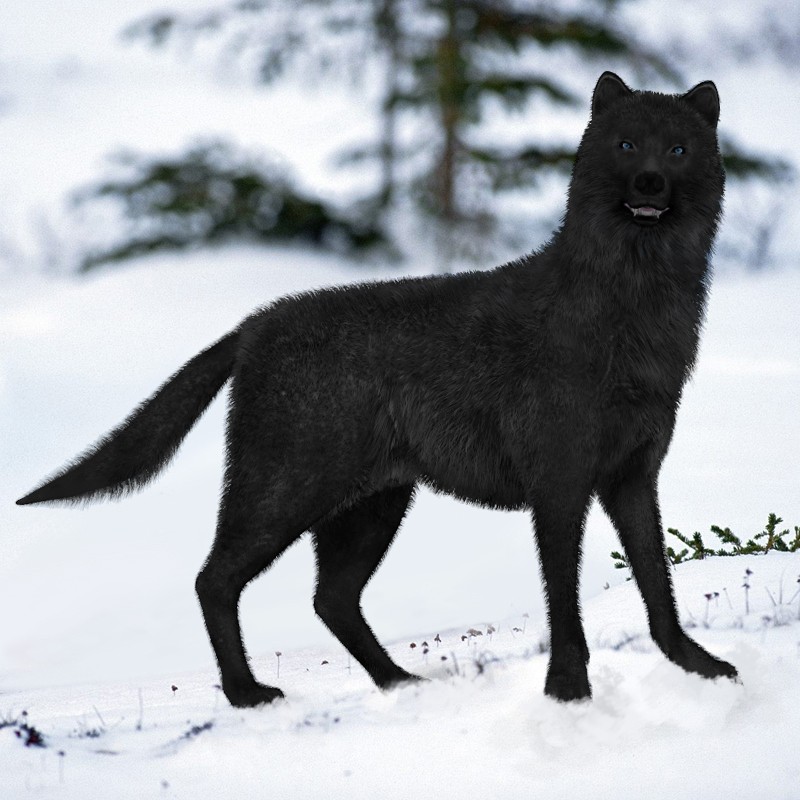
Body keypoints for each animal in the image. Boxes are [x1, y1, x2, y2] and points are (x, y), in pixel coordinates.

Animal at [17, 72, 738, 708]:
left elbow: (658, 583)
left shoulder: (632, 475)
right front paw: (568, 689)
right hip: (287, 491)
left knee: (328, 598)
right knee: (214, 579)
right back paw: (249, 694)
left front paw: (698, 666)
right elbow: (563, 595)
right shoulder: (559, 482)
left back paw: (398, 682)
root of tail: (252, 327)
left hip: (372, 505)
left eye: (678, 149)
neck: (633, 321)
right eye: (625, 144)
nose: (650, 182)